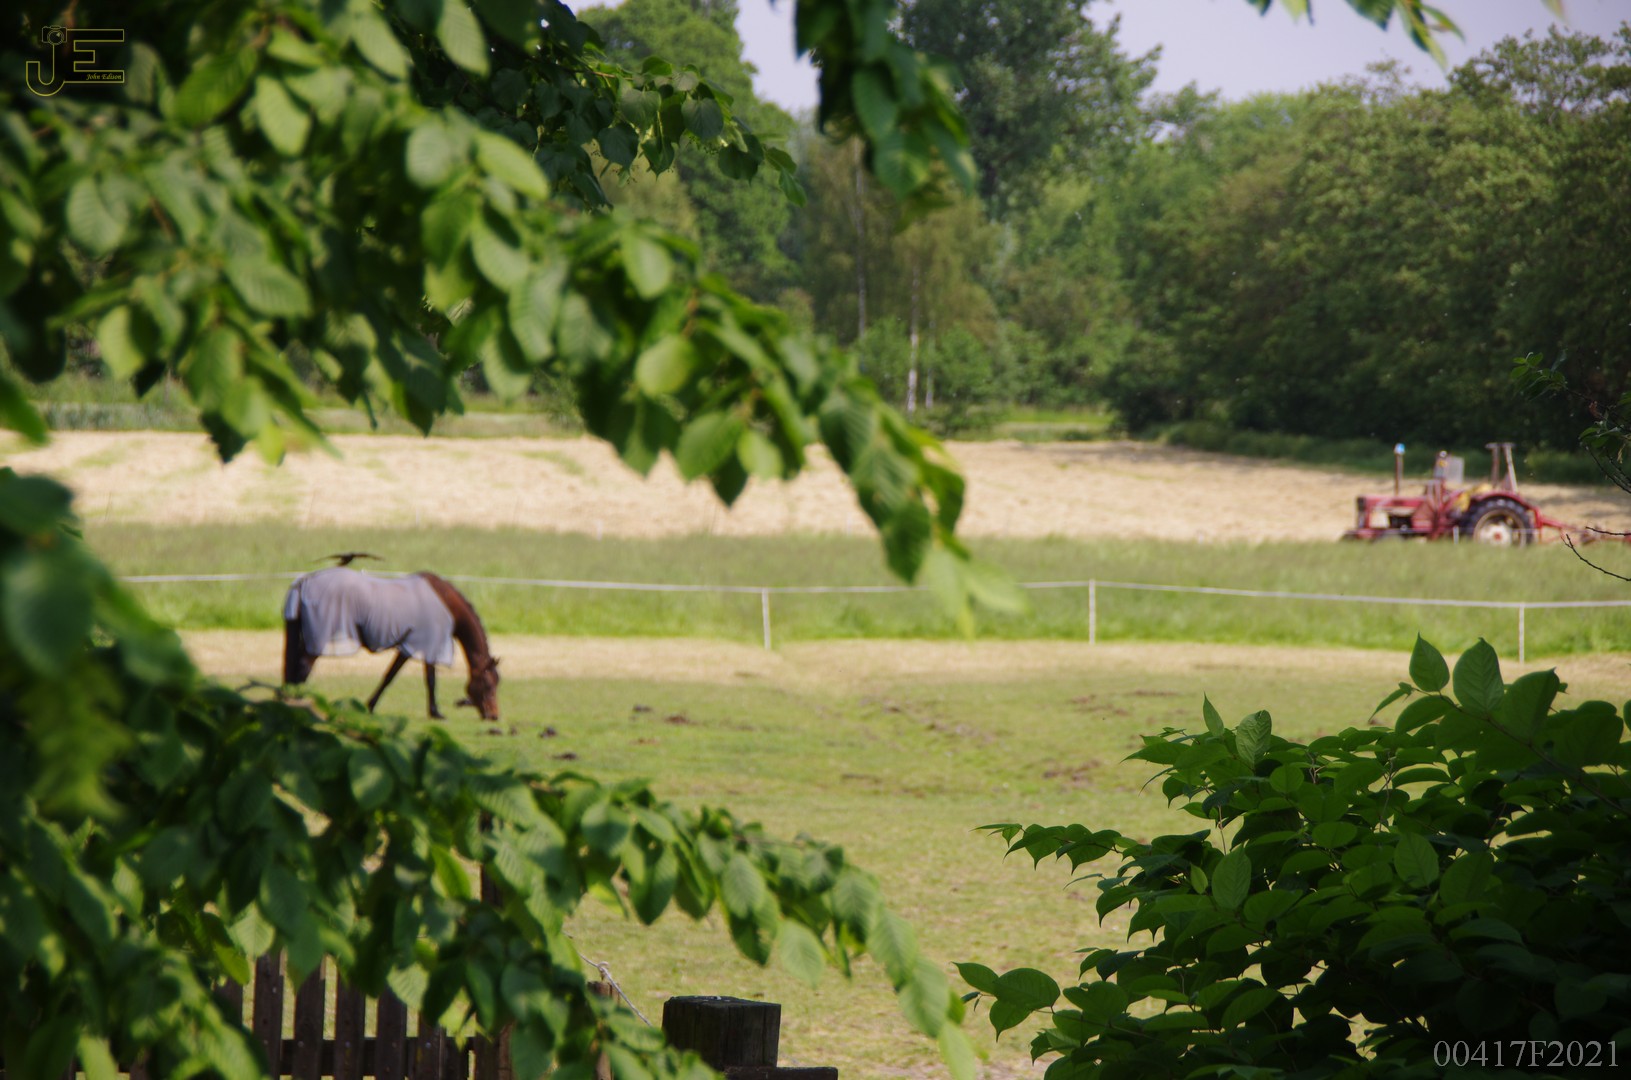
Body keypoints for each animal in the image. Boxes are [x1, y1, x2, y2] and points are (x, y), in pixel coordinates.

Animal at [282, 567, 501, 720]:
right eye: (488, 684)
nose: (494, 716)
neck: (445, 602)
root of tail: (304, 581)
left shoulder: (417, 647)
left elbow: (399, 676)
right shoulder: (423, 646)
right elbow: (416, 679)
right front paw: (435, 713)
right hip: (319, 638)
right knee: (303, 667)